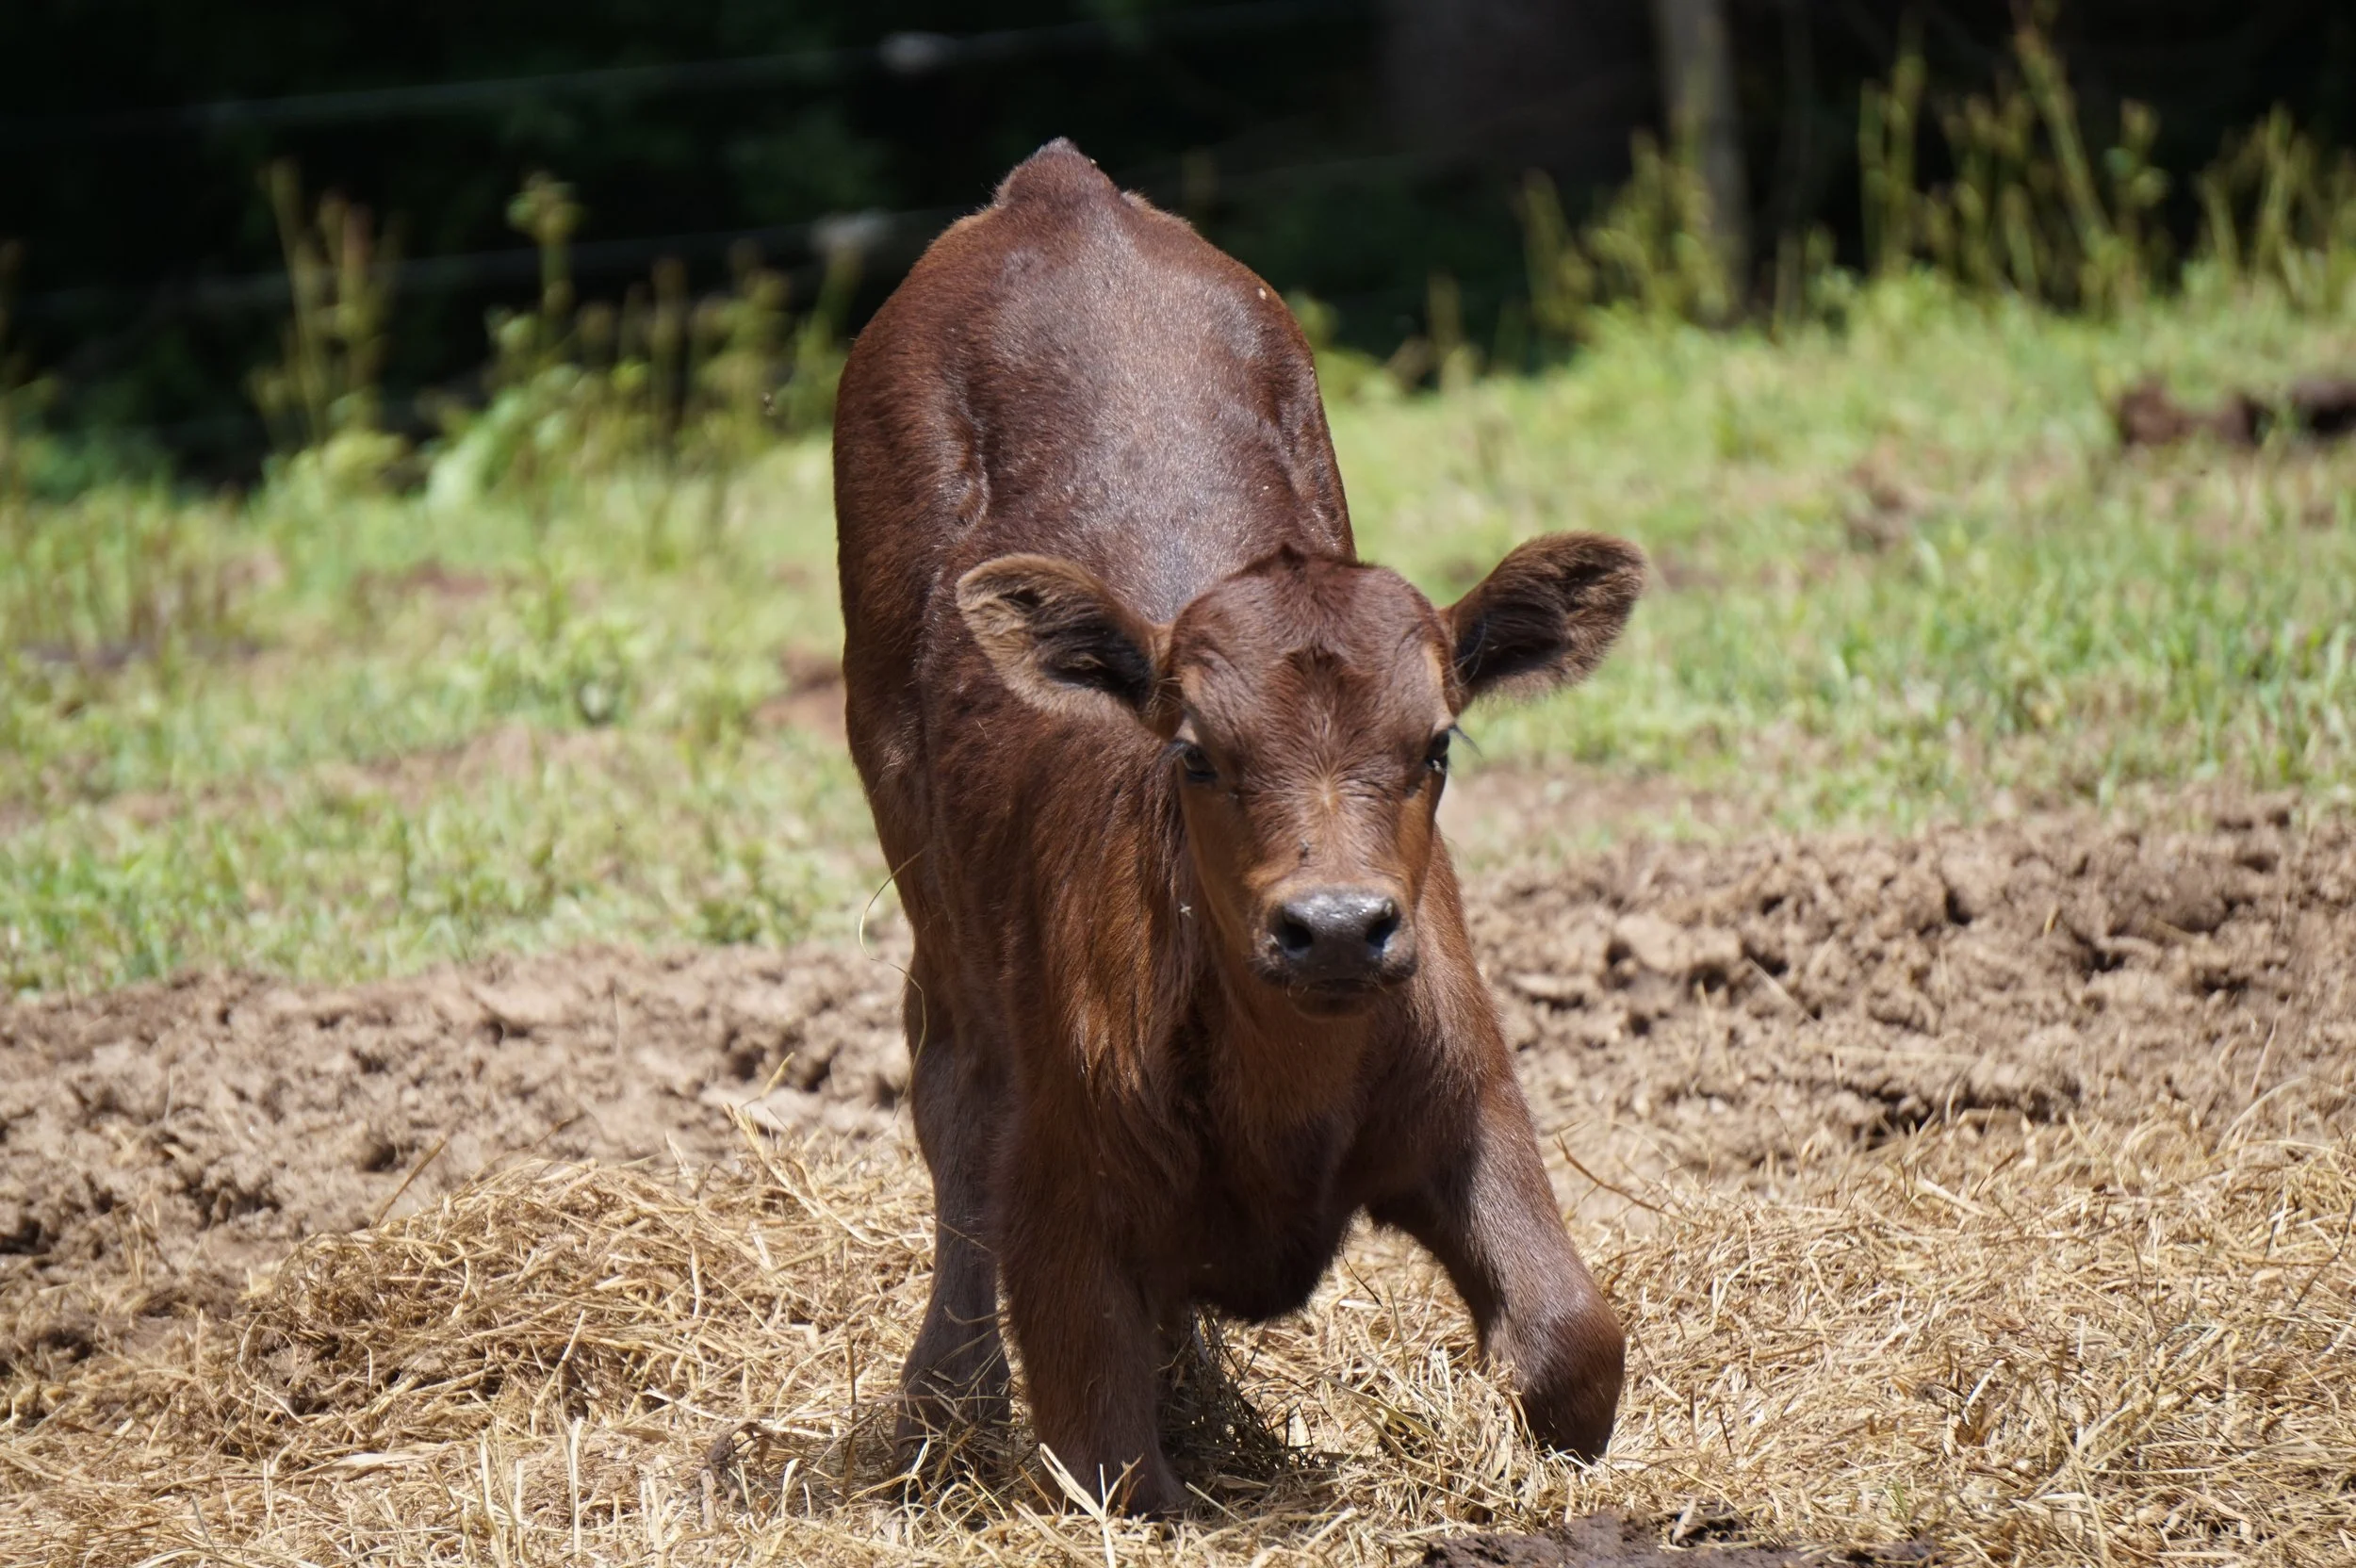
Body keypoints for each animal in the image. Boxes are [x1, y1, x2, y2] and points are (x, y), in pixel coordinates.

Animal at [832, 139, 1643, 1517]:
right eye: (1196, 753)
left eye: (1436, 744)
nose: (1336, 928)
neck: (1285, 1097)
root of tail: (1060, 190)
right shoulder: (1064, 1209)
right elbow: (1116, 1465)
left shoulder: (1473, 1096)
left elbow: (1575, 1348)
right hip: (914, 840)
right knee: (952, 1088)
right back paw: (948, 1397)